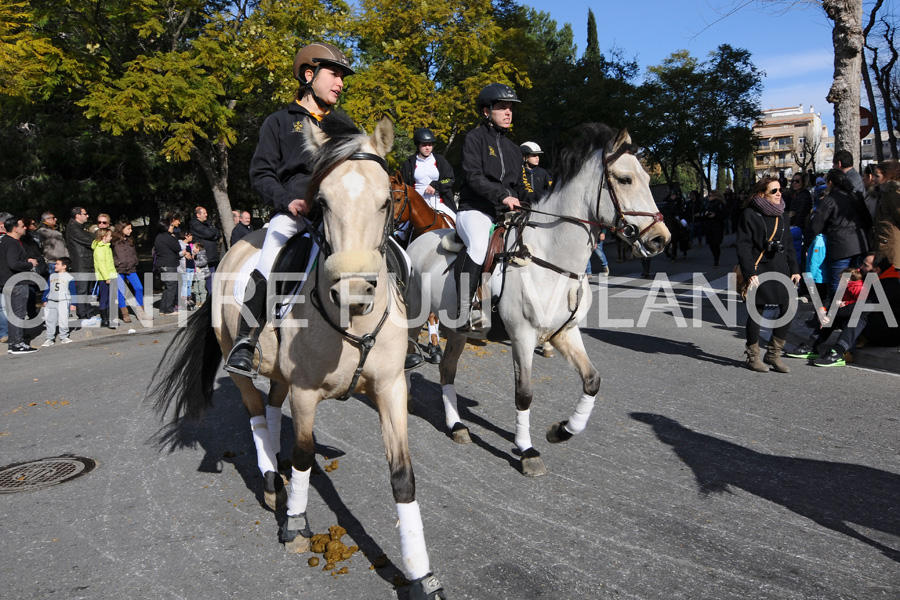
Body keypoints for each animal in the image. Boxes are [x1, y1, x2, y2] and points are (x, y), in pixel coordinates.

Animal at [406, 124, 668, 476]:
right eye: (625, 179)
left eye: (649, 178)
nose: (660, 239)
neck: (552, 257)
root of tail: (418, 240)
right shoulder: (522, 335)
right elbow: (524, 394)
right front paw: (527, 450)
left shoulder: (564, 333)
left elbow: (592, 381)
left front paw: (562, 430)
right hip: (415, 315)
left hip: (458, 330)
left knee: (447, 370)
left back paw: (457, 426)